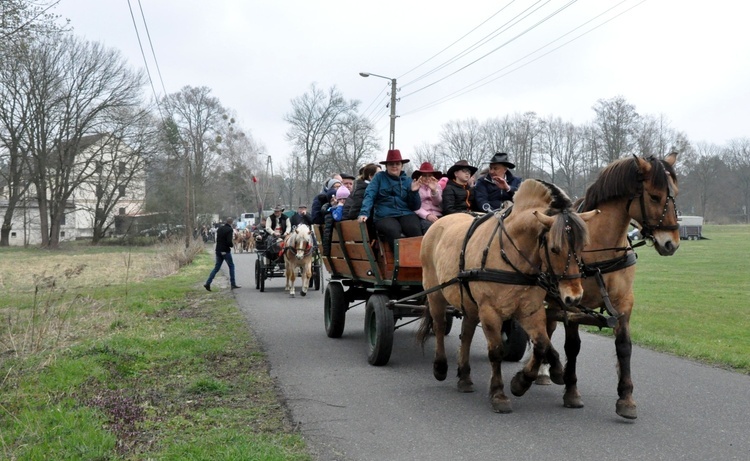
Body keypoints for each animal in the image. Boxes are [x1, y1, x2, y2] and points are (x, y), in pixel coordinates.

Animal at [420, 178, 604, 412]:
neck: (512, 253)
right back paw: (441, 367)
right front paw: (499, 394)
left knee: (467, 334)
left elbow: (542, 344)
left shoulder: (530, 311)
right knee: (440, 325)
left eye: (583, 247)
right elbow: (497, 351)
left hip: (469, 302)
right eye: (554, 249)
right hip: (436, 294)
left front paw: (522, 382)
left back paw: (465, 377)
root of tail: (438, 223)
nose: (574, 297)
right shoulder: (490, 312)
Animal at [540, 153, 680, 418]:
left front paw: (626, 398)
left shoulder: (624, 303)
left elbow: (624, 346)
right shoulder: (573, 302)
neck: (600, 248)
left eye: (675, 193)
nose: (671, 244)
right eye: (654, 196)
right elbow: (572, 346)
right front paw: (571, 391)